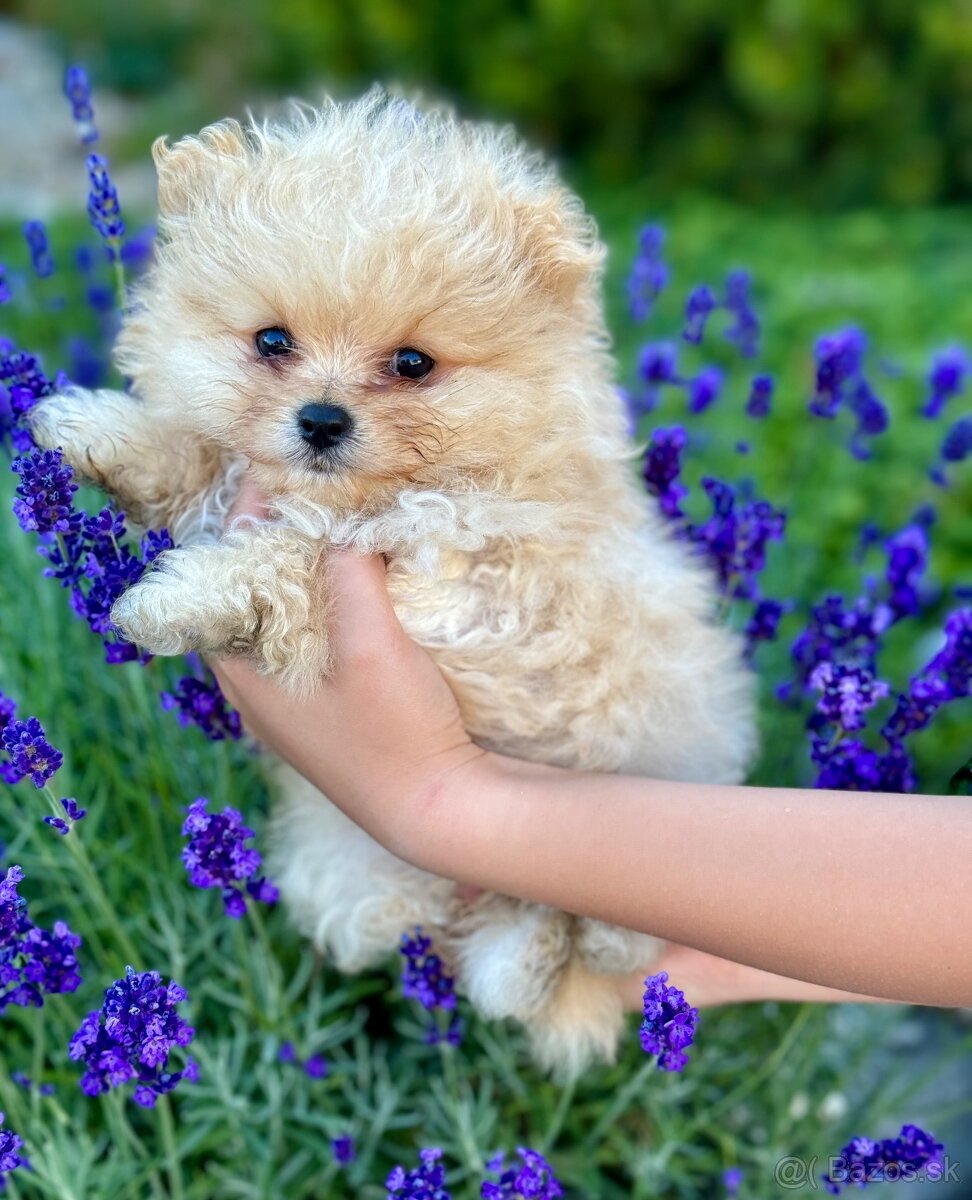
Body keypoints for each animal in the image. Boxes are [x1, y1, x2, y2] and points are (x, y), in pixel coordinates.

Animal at [28, 88, 758, 1075]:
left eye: (413, 363)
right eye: (272, 341)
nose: (321, 420)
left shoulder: (466, 574)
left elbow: (298, 551)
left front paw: (175, 599)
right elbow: (205, 461)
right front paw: (91, 428)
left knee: (587, 942)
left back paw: (551, 952)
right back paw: (500, 960)